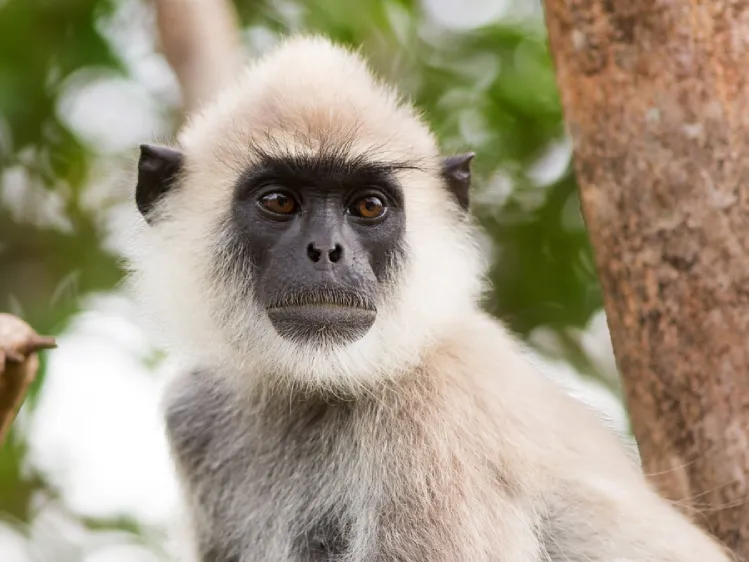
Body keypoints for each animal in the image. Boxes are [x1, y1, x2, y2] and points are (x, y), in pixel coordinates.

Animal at [126, 35, 733, 562]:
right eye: (278, 201)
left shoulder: (437, 417)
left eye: (368, 206)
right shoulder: (195, 413)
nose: (326, 251)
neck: (311, 387)